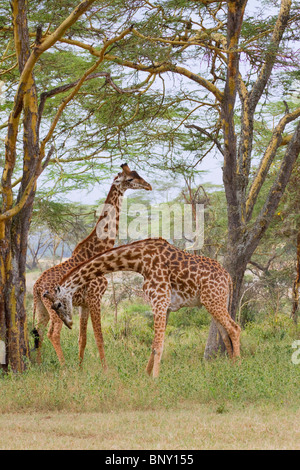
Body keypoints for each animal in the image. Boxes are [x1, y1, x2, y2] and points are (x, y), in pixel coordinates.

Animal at [32, 163, 152, 366]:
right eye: (130, 179)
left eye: (138, 174)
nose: (148, 186)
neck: (98, 249)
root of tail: (37, 286)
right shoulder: (96, 298)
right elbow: (99, 338)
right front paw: (105, 370)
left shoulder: (84, 303)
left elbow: (83, 339)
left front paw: (80, 368)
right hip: (55, 308)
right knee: (53, 333)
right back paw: (64, 368)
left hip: (41, 307)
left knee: (38, 331)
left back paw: (39, 366)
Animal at [43, 239, 241, 378]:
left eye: (58, 304)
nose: (69, 324)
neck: (139, 261)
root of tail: (228, 277)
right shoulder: (165, 306)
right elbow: (154, 344)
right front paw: (145, 375)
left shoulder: (159, 300)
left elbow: (158, 345)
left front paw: (155, 379)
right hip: (214, 302)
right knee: (226, 333)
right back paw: (231, 368)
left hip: (214, 301)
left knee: (235, 328)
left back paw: (238, 369)